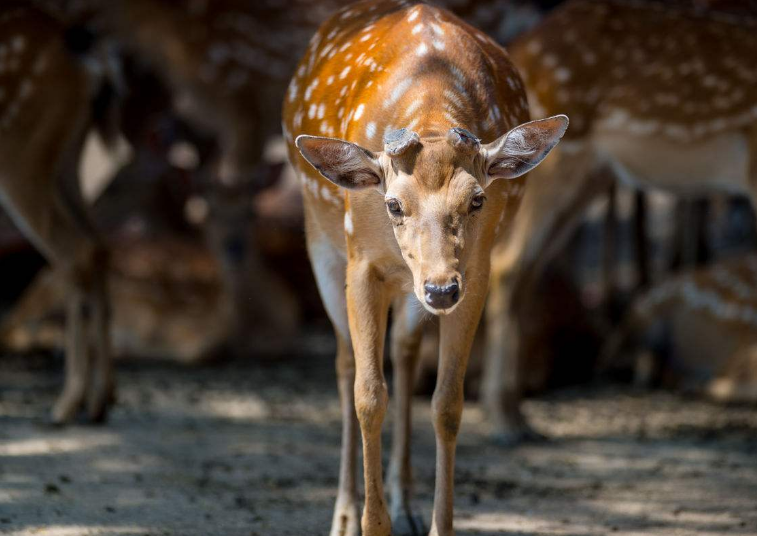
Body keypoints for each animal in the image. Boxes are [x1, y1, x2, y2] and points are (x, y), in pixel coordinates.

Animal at [0, 3, 118, 422]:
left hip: (19, 147)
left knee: (74, 251)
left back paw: (68, 402)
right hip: (68, 154)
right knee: (98, 244)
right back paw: (100, 400)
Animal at [284, 2, 568, 532]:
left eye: (478, 199)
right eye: (393, 204)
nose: (440, 291)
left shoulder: (475, 270)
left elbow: (447, 403)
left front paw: (437, 522)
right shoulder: (361, 262)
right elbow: (368, 395)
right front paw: (372, 525)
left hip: (414, 288)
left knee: (405, 351)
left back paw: (407, 504)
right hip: (322, 243)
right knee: (344, 363)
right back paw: (345, 514)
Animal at [482, 0, 756, 444]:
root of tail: (516, 48)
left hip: (594, 172)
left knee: (525, 269)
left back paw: (517, 414)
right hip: (562, 155)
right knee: (510, 266)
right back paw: (506, 420)